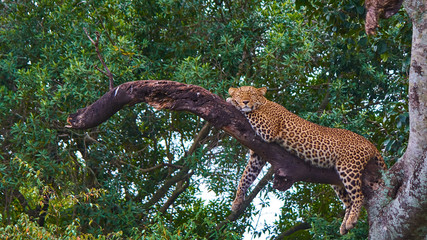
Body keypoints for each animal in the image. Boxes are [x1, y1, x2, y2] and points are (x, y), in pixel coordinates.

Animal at [227, 86, 388, 234]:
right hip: (337, 179)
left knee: (359, 196)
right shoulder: (257, 156)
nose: (245, 101)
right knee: (348, 202)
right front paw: (237, 202)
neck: (265, 103)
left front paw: (231, 102)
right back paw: (344, 225)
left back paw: (352, 220)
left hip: (349, 168)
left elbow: (252, 112)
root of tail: (370, 143)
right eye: (240, 94)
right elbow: (245, 177)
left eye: (252, 94)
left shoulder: (269, 129)